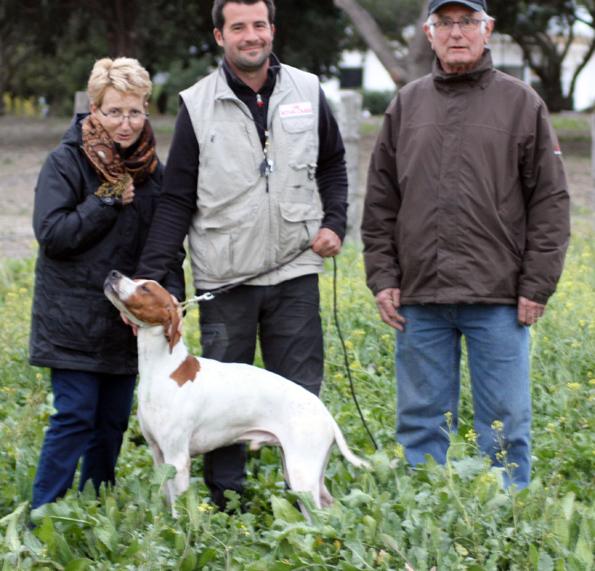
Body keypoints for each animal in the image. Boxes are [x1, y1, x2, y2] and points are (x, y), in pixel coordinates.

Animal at [105, 270, 370, 516]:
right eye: (136, 279)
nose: (114, 273)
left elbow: (180, 509)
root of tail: (325, 413)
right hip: (302, 469)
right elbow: (168, 501)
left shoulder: (177, 458)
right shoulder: (159, 456)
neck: (163, 368)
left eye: (146, 289)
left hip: (301, 474)